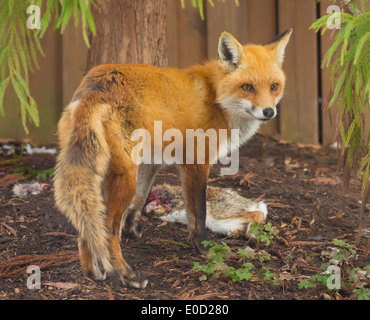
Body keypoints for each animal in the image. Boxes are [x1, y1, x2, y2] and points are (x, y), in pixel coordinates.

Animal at [54, 29, 292, 288]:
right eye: (247, 87)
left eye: (274, 86)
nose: (269, 112)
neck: (216, 98)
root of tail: (99, 83)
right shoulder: (196, 163)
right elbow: (198, 213)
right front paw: (205, 248)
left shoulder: (152, 161)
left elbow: (140, 199)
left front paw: (133, 229)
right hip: (124, 175)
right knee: (107, 231)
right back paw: (128, 275)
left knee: (87, 227)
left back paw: (92, 273)